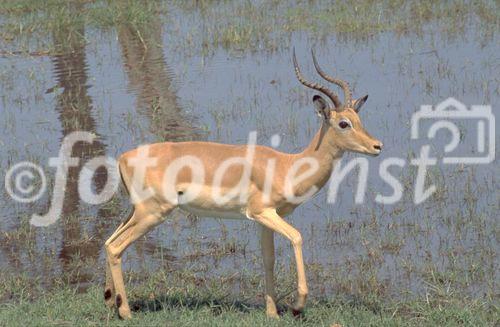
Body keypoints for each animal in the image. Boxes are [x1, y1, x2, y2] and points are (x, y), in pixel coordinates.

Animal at [103, 49, 380, 320]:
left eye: (358, 118)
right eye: (343, 123)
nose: (377, 146)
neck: (287, 166)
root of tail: (123, 157)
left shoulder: (265, 219)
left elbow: (269, 259)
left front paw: (272, 313)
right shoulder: (262, 212)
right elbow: (297, 238)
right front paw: (297, 306)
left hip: (136, 212)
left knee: (108, 242)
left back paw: (109, 300)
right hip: (153, 213)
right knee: (116, 247)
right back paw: (125, 312)